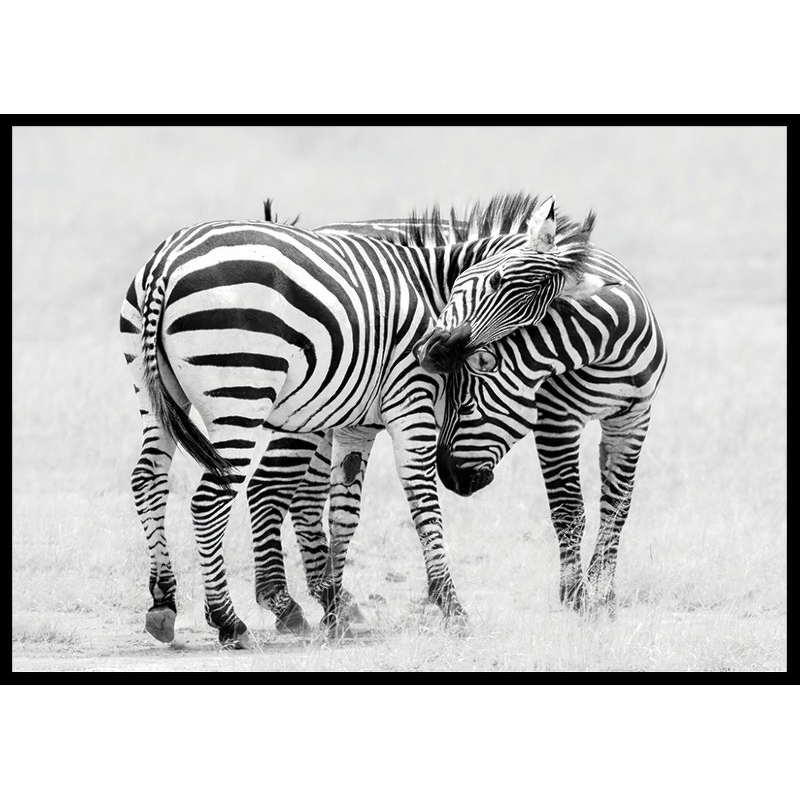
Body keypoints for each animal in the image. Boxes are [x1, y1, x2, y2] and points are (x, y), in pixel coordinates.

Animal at [120, 193, 586, 647]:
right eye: (497, 281)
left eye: (529, 316)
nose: (435, 352)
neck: (429, 286)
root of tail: (168, 262)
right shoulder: (410, 402)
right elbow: (421, 498)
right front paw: (451, 606)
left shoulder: (356, 422)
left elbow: (344, 510)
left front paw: (335, 609)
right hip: (242, 393)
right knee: (211, 500)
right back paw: (229, 621)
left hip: (157, 394)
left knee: (149, 481)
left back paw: (164, 603)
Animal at [415, 202, 667, 611]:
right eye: (494, 281)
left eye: (466, 407)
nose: (436, 354)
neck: (611, 353)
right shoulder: (556, 421)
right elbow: (568, 510)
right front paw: (574, 595)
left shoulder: (634, 420)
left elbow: (617, 505)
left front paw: (602, 589)